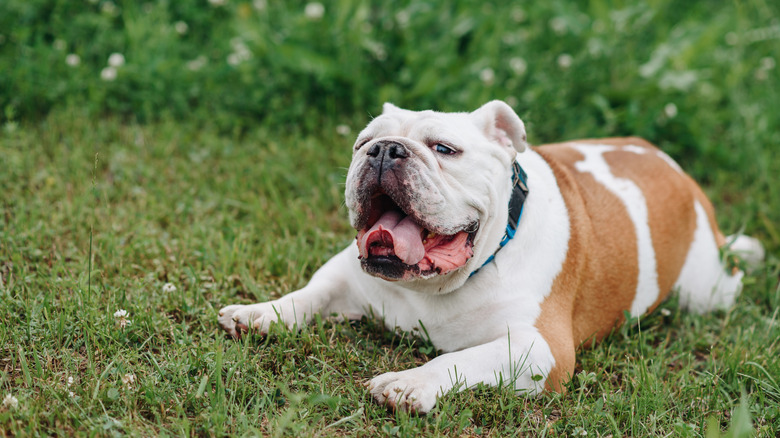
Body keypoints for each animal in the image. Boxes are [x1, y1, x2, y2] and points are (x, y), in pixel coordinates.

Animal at [216, 101, 764, 412]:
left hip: (705, 292)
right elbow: (311, 292)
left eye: (444, 149)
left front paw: (411, 383)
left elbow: (463, 357)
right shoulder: (346, 274)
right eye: (363, 142)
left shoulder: (541, 348)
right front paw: (260, 312)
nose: (385, 150)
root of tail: (674, 166)